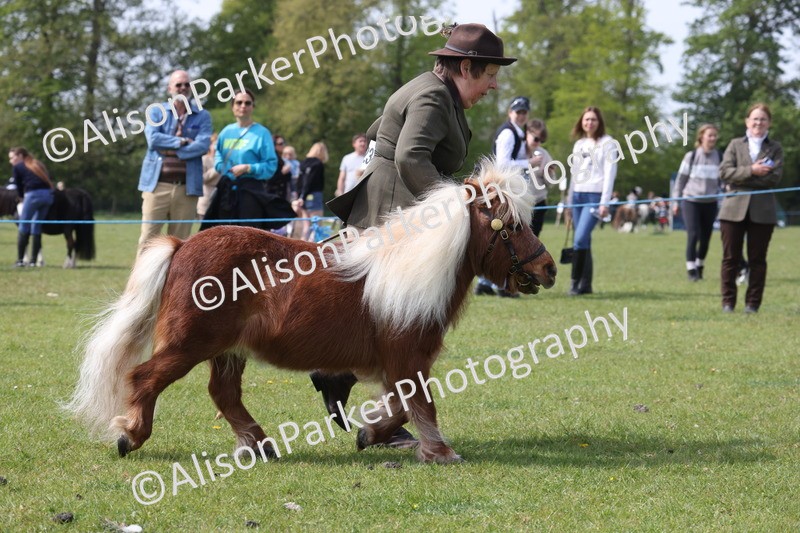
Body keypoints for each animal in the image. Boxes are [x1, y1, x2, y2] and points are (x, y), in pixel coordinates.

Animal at [65, 161, 557, 464]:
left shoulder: (398, 363)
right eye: (512, 226)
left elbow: (402, 409)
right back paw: (131, 434)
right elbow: (419, 405)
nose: (549, 269)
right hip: (190, 344)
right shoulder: (407, 357)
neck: (408, 270)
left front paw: (370, 433)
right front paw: (440, 452)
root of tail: (183, 244)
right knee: (145, 377)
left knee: (224, 394)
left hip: (227, 350)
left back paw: (259, 444)